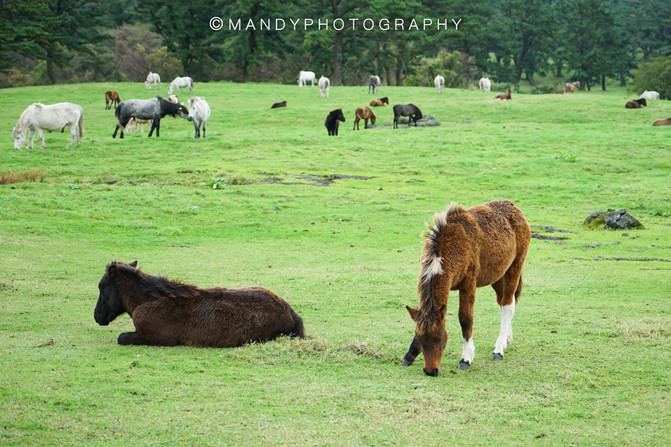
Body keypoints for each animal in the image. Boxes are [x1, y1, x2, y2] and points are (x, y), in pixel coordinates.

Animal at [94, 260, 304, 348]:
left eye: (102, 286)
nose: (97, 316)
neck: (148, 300)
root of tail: (291, 312)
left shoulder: (155, 337)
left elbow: (121, 338)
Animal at [402, 201, 532, 376]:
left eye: (439, 338)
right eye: (420, 339)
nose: (430, 370)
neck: (451, 245)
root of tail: (514, 208)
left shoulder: (468, 284)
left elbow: (465, 319)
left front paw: (466, 358)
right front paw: (409, 355)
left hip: (514, 268)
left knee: (507, 305)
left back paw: (498, 349)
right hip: (498, 275)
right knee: (504, 301)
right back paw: (506, 339)